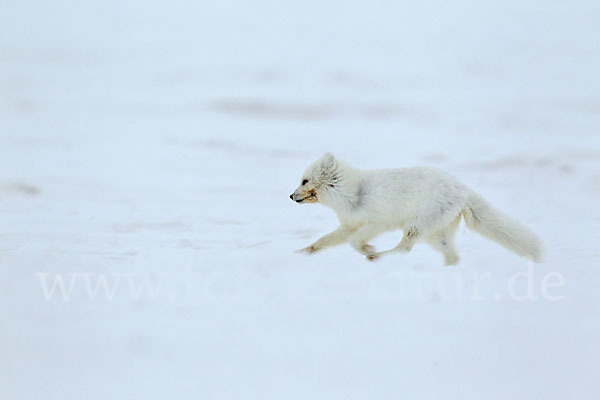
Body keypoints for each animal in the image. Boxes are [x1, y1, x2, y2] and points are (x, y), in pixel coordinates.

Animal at [290, 153, 544, 266]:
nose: (291, 196)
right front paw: (300, 252)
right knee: (452, 255)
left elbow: (355, 241)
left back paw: (377, 256)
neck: (351, 194)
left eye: (304, 181)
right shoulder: (349, 224)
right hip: (436, 234)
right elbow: (322, 241)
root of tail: (461, 187)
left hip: (418, 224)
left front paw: (368, 248)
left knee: (405, 248)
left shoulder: (378, 221)